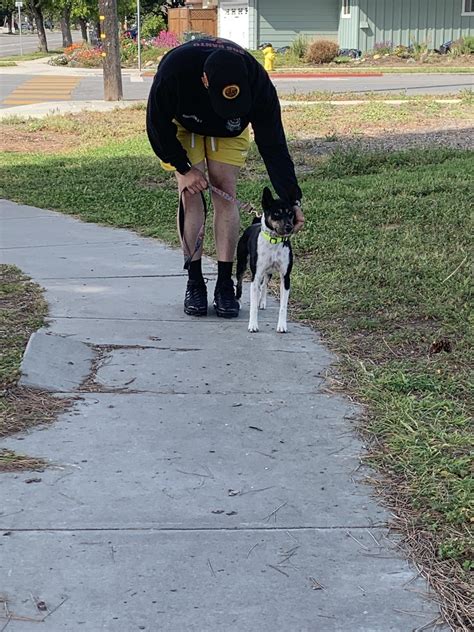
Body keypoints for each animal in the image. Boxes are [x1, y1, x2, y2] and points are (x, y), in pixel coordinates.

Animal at [237, 188, 296, 334]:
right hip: (241, 264)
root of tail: (254, 224)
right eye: (277, 213)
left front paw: (282, 326)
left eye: (291, 214)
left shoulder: (285, 277)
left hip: (269, 271)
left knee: (264, 285)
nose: (289, 227)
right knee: (240, 283)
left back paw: (262, 301)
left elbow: (283, 307)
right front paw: (253, 325)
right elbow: (252, 305)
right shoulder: (255, 275)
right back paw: (238, 301)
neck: (274, 241)